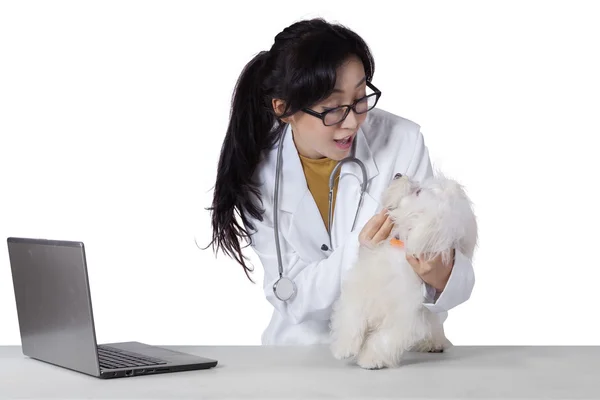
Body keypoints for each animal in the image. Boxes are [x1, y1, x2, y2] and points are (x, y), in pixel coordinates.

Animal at [328, 172, 478, 368]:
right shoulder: (360, 289)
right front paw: (344, 347)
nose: (399, 174)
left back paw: (433, 343)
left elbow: (384, 338)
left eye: (418, 191)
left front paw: (371, 359)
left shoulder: (404, 314)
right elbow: (352, 316)